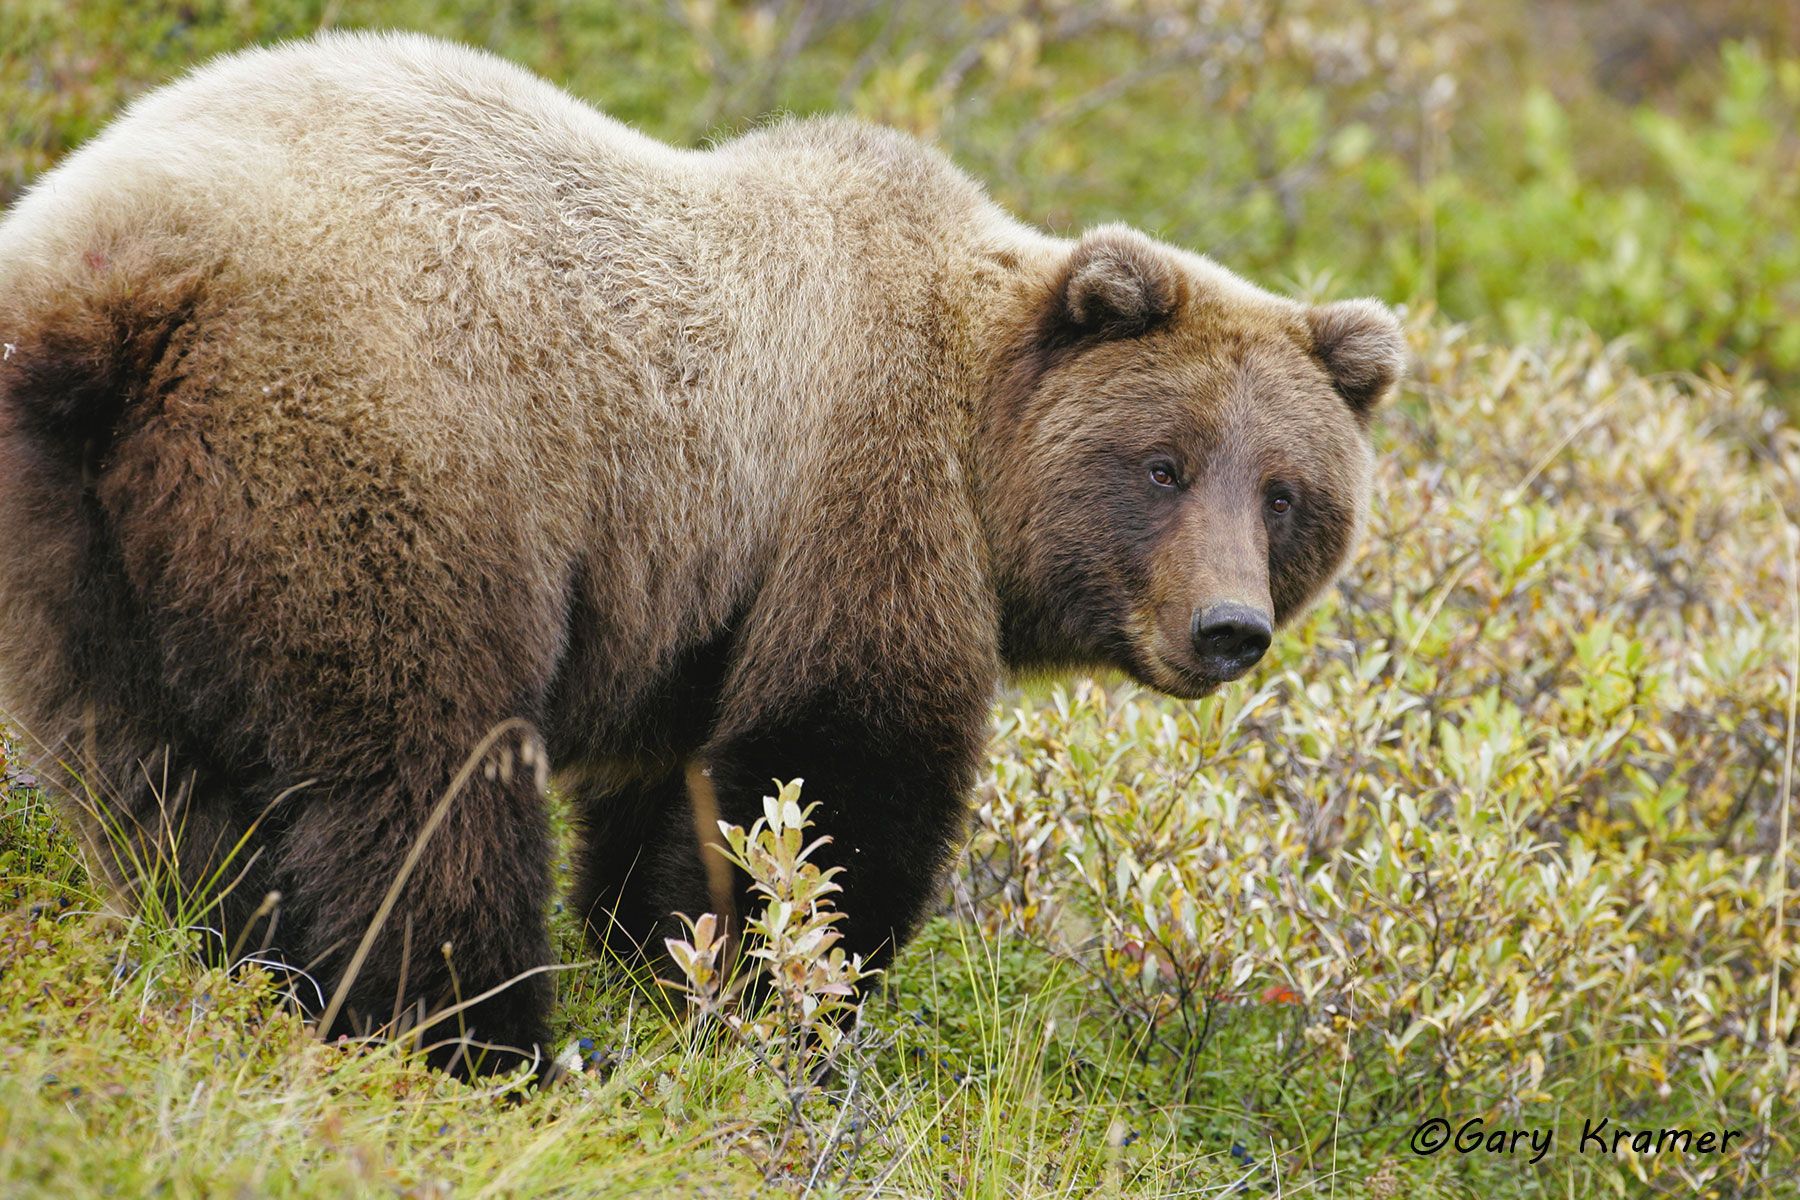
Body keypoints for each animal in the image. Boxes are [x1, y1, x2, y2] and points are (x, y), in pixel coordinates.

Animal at [0, 32, 1402, 1077]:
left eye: (1284, 494)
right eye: (1163, 466)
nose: (1227, 627)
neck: (979, 438)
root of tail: (114, 274)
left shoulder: (703, 589)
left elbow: (672, 800)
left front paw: (657, 957)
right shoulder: (866, 489)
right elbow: (835, 775)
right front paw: (798, 1001)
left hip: (83, 532)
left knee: (152, 779)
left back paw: (238, 957)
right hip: (386, 444)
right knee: (422, 768)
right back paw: (484, 1038)